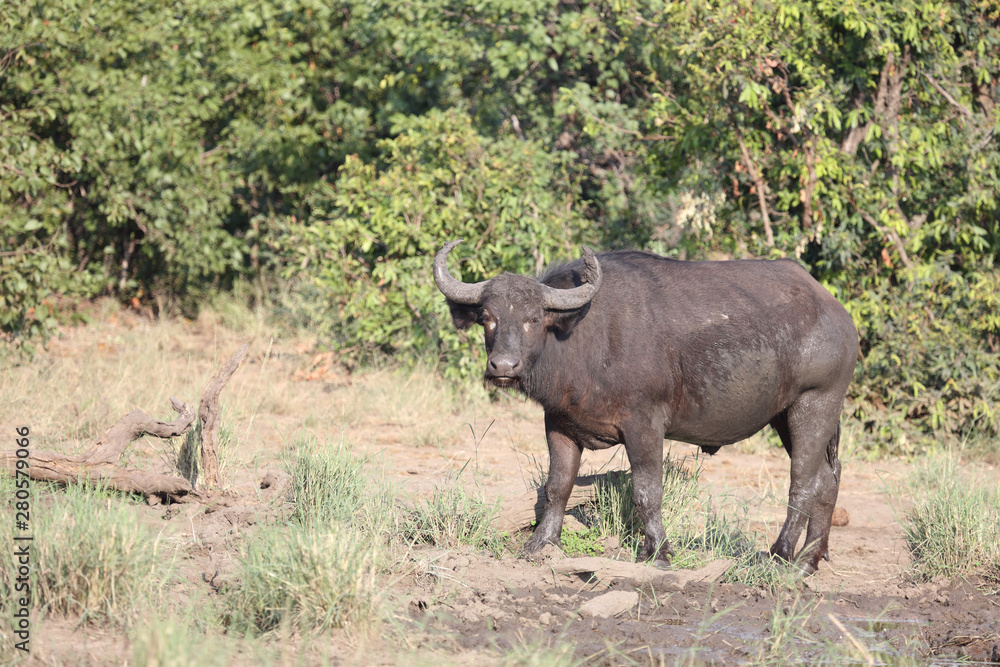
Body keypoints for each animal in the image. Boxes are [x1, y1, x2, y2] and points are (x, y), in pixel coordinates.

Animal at [434, 240, 858, 573]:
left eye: (534, 318)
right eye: (487, 318)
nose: (503, 367)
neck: (584, 336)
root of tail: (837, 313)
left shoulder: (645, 425)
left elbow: (646, 491)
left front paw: (657, 552)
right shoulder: (558, 423)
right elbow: (557, 487)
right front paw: (541, 543)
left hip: (815, 403)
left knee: (803, 482)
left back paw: (782, 555)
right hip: (786, 416)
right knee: (828, 479)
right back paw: (810, 558)